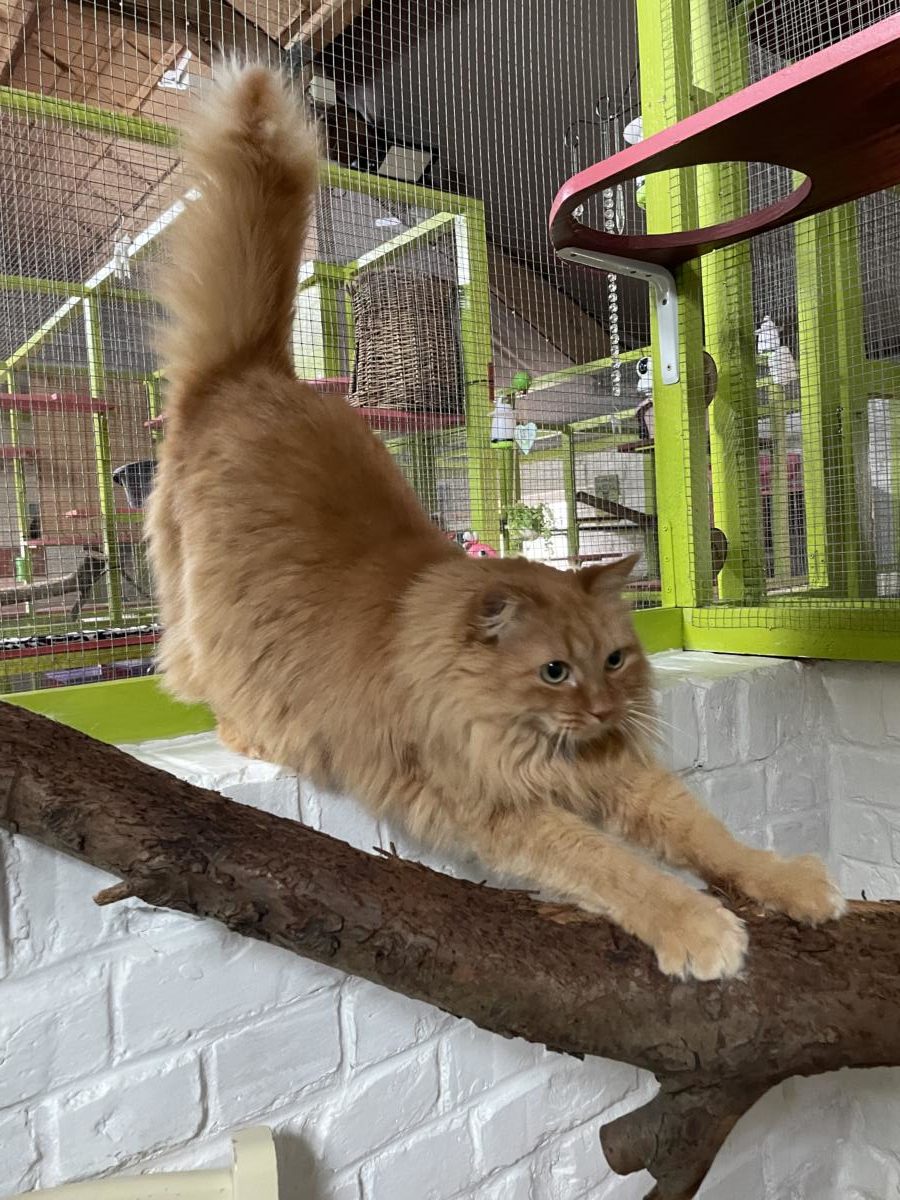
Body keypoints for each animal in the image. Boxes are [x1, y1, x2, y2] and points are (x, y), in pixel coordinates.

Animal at [146, 65, 845, 982]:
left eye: (615, 660)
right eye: (553, 672)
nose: (600, 709)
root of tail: (255, 370)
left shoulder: (621, 773)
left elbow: (711, 837)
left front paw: (788, 882)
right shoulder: (500, 806)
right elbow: (619, 868)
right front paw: (699, 928)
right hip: (215, 619)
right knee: (197, 680)